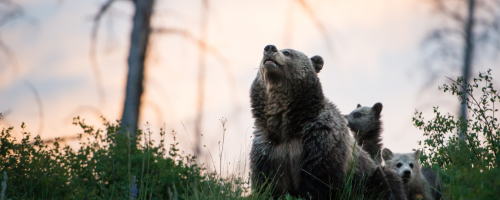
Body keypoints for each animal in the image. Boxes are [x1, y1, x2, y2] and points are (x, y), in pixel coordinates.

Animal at [250, 45, 406, 200]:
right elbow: (267, 182)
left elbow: (321, 181)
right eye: (262, 53)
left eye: (288, 52)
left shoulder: (319, 141)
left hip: (372, 177)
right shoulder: (269, 147)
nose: (269, 48)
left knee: (387, 181)